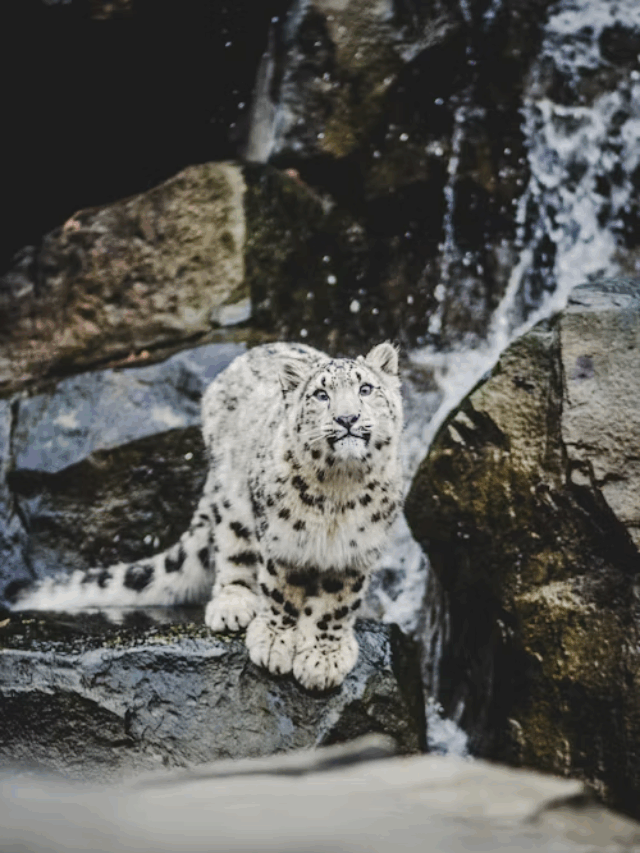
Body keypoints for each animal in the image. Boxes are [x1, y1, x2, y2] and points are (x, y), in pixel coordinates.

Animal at [15, 342, 404, 691]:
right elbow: (280, 590)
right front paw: (275, 642)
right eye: (321, 395)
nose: (347, 418)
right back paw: (233, 604)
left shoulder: (355, 551)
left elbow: (336, 605)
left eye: (366, 389)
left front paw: (323, 658)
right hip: (233, 501)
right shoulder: (281, 539)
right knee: (232, 549)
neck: (339, 492)